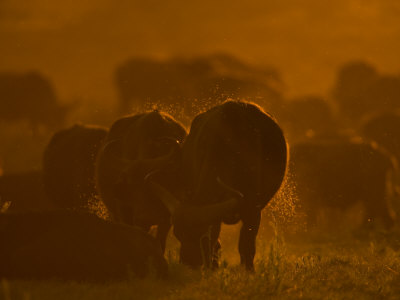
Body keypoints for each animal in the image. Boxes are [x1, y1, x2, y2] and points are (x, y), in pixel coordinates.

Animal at [147, 100, 288, 270]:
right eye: (178, 234)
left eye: (202, 236)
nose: (188, 263)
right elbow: (216, 241)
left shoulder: (253, 209)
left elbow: (246, 245)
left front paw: (248, 270)